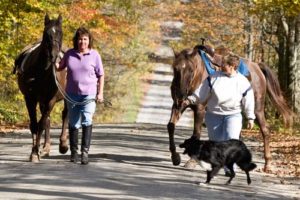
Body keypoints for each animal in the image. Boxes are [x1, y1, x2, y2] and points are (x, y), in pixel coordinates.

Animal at [13, 14, 68, 162]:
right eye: (46, 34)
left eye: (61, 33)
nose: (54, 56)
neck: (42, 71)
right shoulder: (30, 98)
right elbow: (35, 124)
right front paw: (34, 152)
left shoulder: (51, 100)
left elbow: (41, 124)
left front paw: (35, 152)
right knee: (47, 119)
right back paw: (46, 148)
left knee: (65, 115)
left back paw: (63, 144)